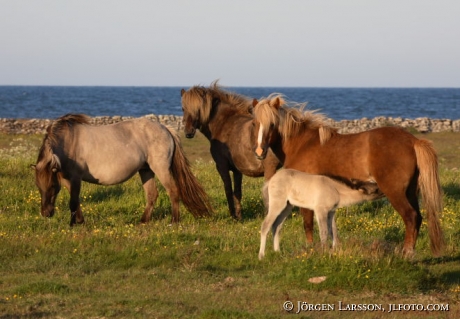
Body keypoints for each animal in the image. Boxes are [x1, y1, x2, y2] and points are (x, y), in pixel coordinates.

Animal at [31, 114, 212, 226]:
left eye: (52, 186)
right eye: (38, 187)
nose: (46, 213)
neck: (69, 141)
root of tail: (165, 128)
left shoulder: (75, 178)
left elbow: (73, 201)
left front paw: (73, 224)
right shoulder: (67, 179)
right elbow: (75, 201)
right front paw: (80, 221)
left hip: (160, 169)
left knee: (173, 191)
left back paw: (174, 221)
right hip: (145, 170)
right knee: (152, 194)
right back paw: (143, 221)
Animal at [181, 81, 280, 220]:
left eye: (198, 109)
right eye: (183, 108)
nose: (188, 132)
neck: (225, 123)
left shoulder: (221, 166)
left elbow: (228, 189)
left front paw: (233, 215)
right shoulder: (237, 170)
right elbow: (237, 192)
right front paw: (239, 216)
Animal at [252, 95, 446, 258]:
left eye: (272, 124)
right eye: (255, 123)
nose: (260, 152)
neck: (302, 144)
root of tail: (413, 141)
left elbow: (308, 224)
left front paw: (311, 248)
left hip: (395, 193)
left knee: (410, 217)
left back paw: (406, 253)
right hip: (411, 192)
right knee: (418, 218)